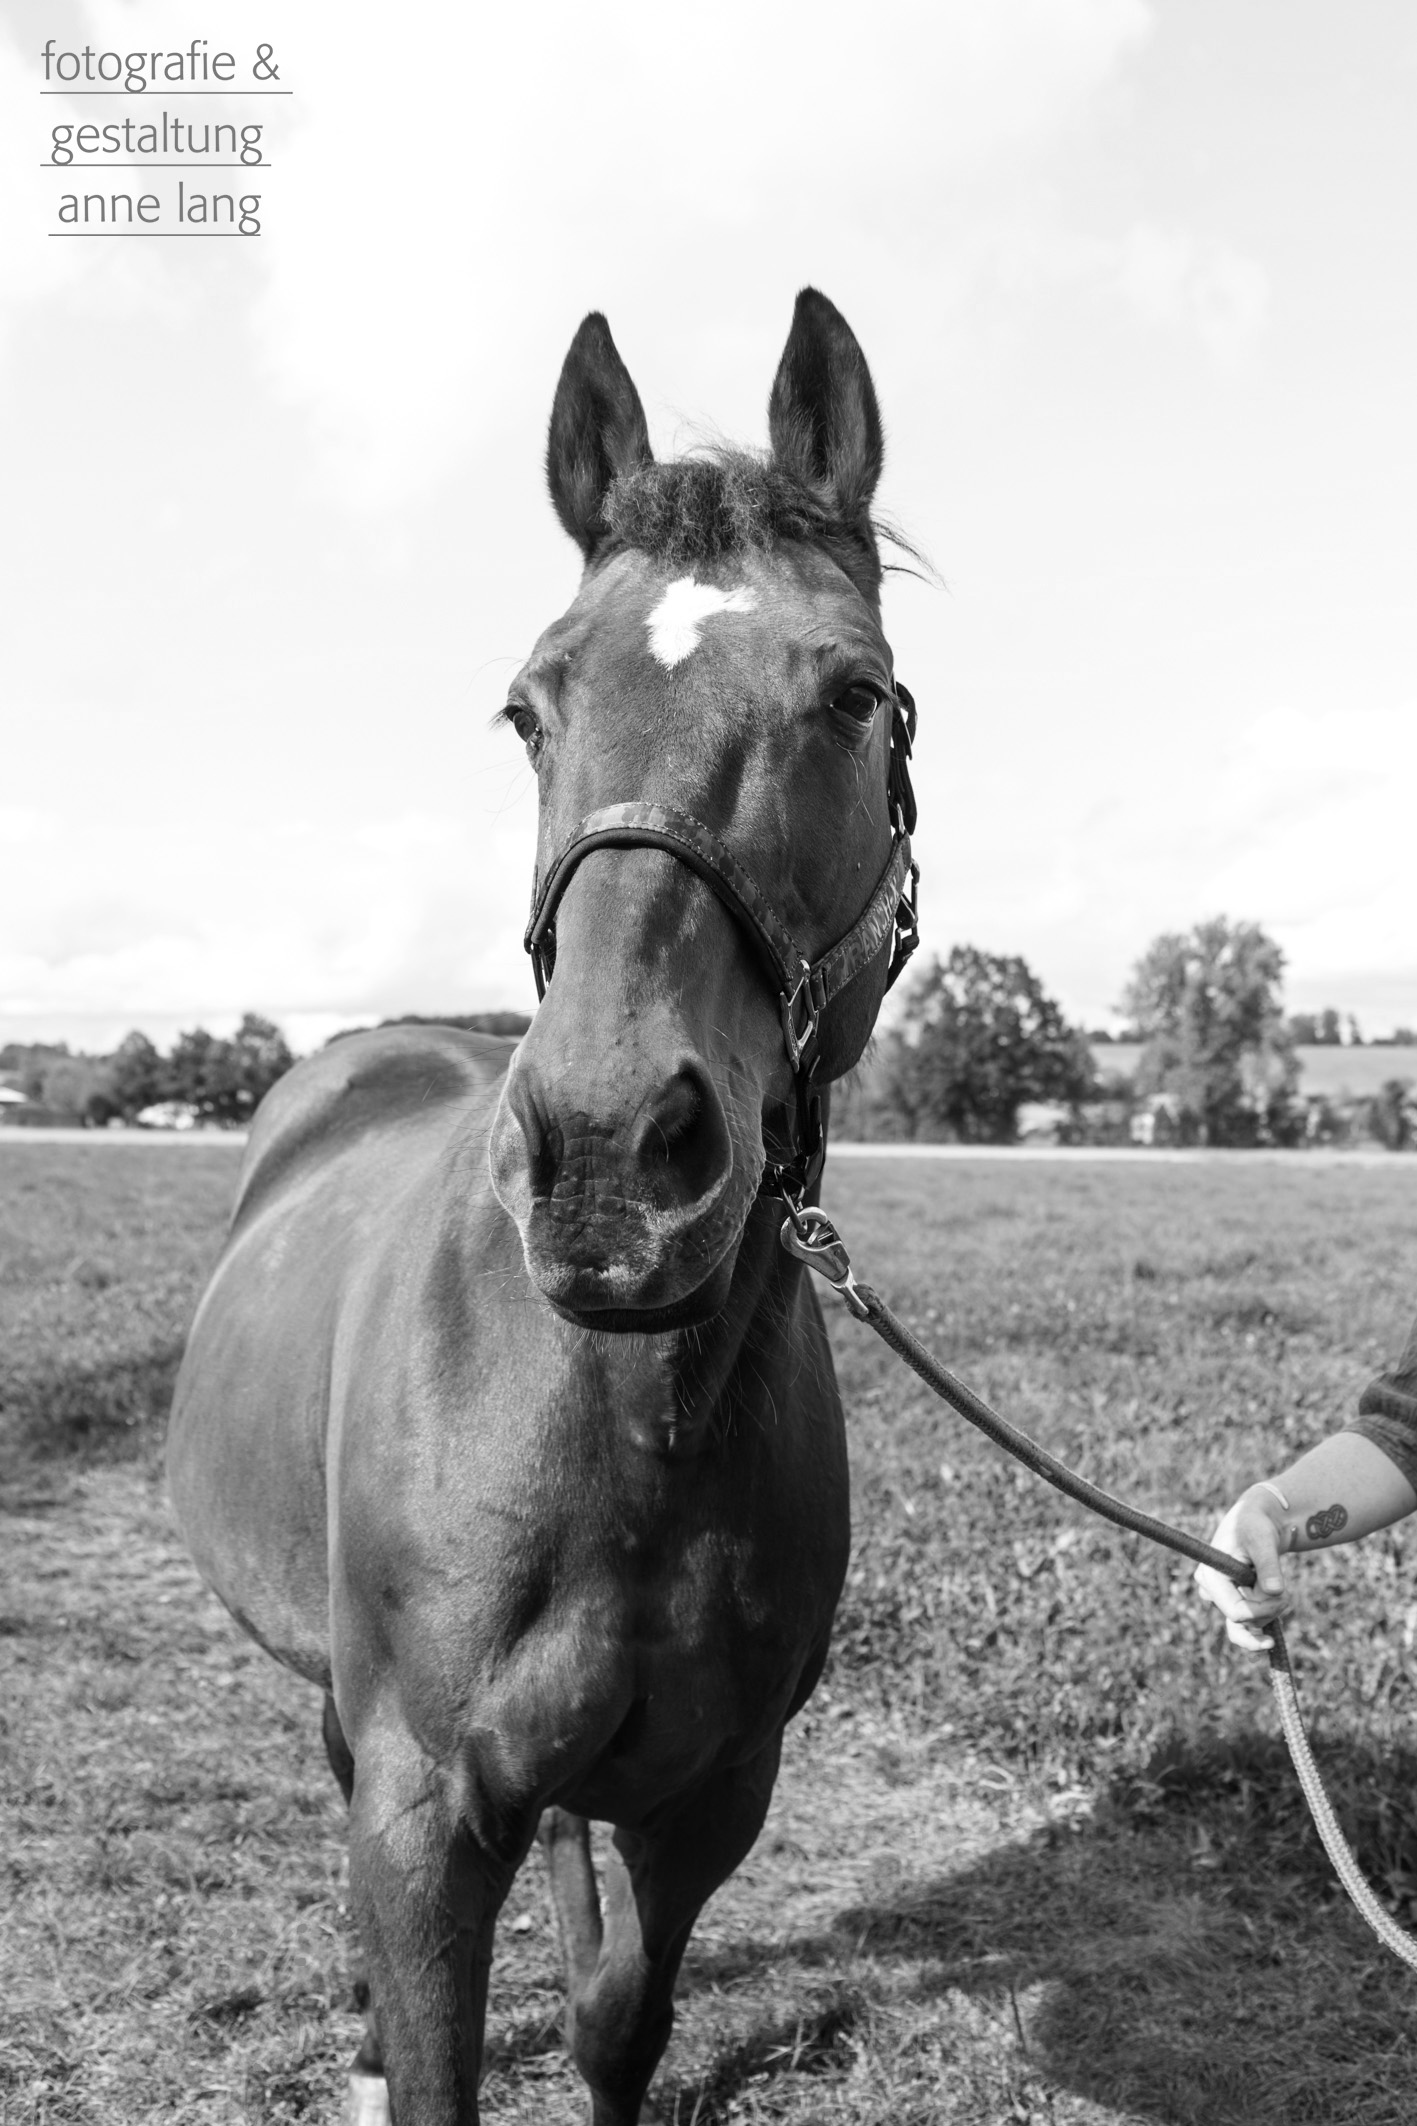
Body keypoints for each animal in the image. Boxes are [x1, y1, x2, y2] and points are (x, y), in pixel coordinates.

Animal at [166, 286, 920, 2126]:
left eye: (855, 695)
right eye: (527, 707)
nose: (605, 1157)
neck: (621, 1413)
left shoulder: (709, 1797)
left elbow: (617, 2022)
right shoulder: (428, 1807)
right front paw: (395, 2044)